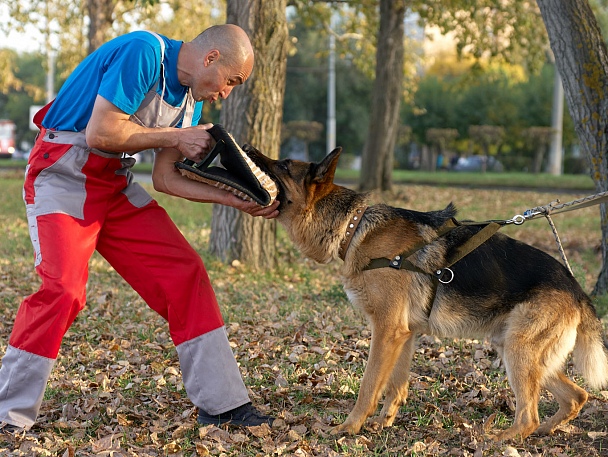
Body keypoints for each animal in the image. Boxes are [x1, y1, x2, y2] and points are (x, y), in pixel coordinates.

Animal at [243, 144, 608, 440]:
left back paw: (501, 439)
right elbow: (396, 383)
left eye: (285, 164)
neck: (354, 227)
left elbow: (369, 383)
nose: (246, 146)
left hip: (518, 351)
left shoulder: (387, 330)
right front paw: (383, 422)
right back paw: (547, 430)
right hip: (520, 351)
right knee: (576, 396)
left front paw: (350, 426)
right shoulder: (404, 334)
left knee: (529, 414)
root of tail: (576, 288)